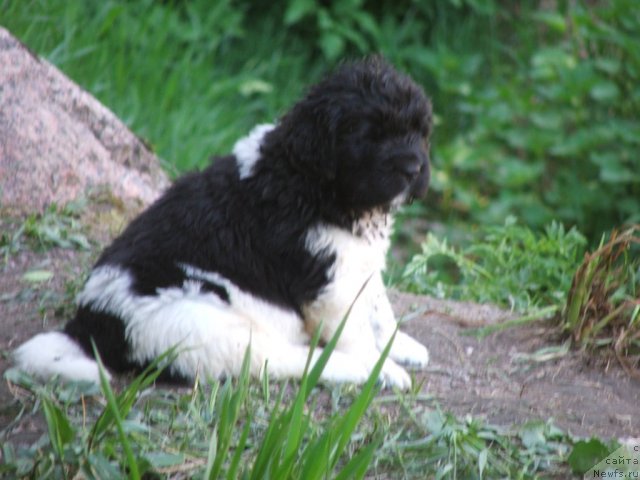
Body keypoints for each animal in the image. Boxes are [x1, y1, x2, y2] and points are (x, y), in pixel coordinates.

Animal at [15, 59, 432, 390]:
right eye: (370, 135)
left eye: (419, 132)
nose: (414, 169)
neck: (315, 183)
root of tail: (91, 325)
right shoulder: (330, 282)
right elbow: (355, 331)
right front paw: (382, 367)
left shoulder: (358, 262)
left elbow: (378, 307)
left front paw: (400, 344)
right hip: (200, 323)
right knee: (276, 360)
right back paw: (352, 369)